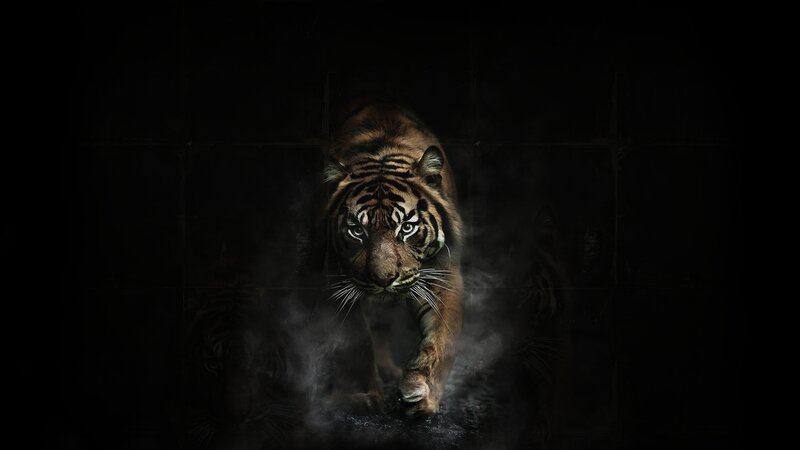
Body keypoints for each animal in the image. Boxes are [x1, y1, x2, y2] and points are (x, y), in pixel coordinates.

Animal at [321, 100, 464, 417]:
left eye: (407, 228)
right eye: (357, 230)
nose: (384, 279)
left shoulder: (442, 273)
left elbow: (441, 338)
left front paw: (422, 393)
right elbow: (357, 342)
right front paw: (365, 395)